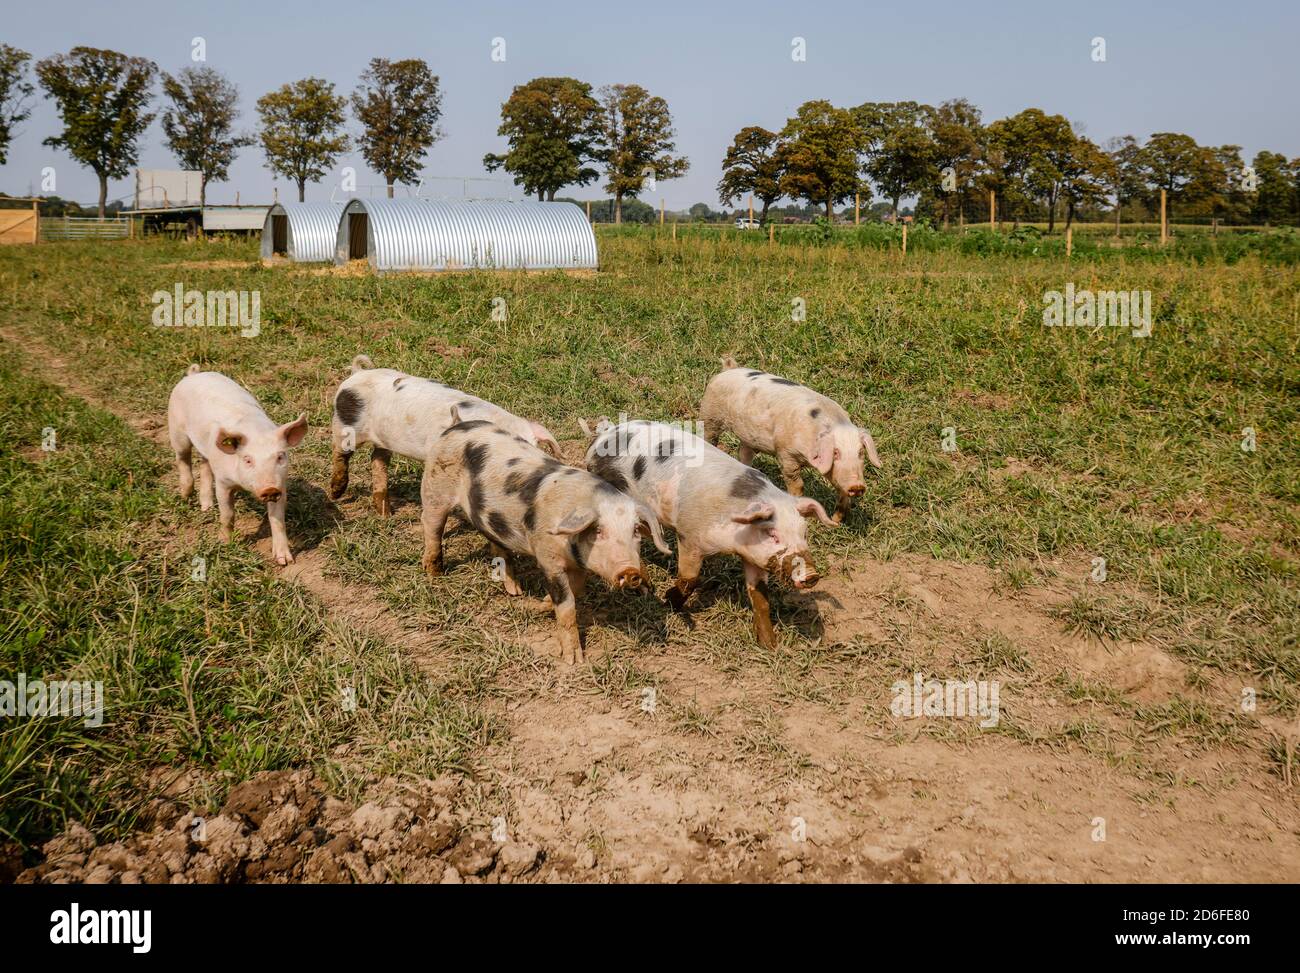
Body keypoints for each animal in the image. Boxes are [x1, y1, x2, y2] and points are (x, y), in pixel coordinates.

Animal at [325, 351, 559, 512]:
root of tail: (356, 375)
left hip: (383, 438)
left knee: (377, 459)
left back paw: (386, 514)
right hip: (345, 424)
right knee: (340, 452)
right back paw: (335, 493)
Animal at [421, 405, 670, 666]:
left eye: (635, 531)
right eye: (598, 531)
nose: (631, 571)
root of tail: (456, 425)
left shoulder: (577, 567)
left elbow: (575, 590)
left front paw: (541, 606)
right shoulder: (548, 558)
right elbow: (567, 604)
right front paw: (574, 660)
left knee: (496, 544)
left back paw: (515, 591)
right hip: (435, 488)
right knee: (432, 526)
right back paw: (434, 574)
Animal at [587, 416, 837, 645]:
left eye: (804, 533)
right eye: (773, 534)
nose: (812, 574)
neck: (732, 542)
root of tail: (600, 441)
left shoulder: (754, 557)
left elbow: (760, 597)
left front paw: (769, 646)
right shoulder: (689, 536)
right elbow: (690, 580)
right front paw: (668, 602)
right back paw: (646, 588)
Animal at [702, 356, 883, 525]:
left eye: (860, 452)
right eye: (836, 453)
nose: (857, 486)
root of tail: (729, 369)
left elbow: (840, 490)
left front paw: (837, 521)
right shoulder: (786, 453)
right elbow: (797, 483)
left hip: (747, 436)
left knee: (744, 453)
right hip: (710, 415)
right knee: (710, 437)